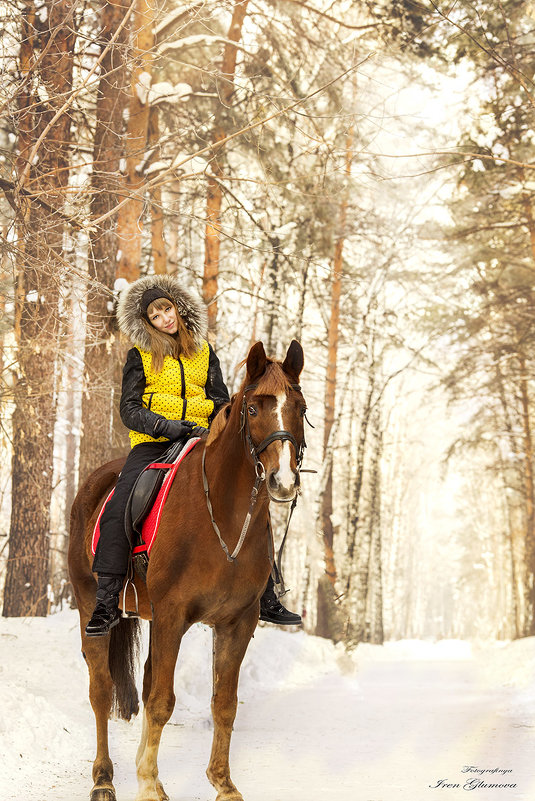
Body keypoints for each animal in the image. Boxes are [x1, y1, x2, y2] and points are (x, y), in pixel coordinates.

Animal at [69, 340, 308, 800]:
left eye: (300, 407)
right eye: (254, 408)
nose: (283, 481)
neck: (222, 516)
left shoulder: (236, 621)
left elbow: (224, 703)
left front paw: (223, 783)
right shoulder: (173, 615)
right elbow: (162, 701)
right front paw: (148, 785)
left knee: (142, 684)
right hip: (92, 605)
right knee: (100, 690)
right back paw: (104, 779)